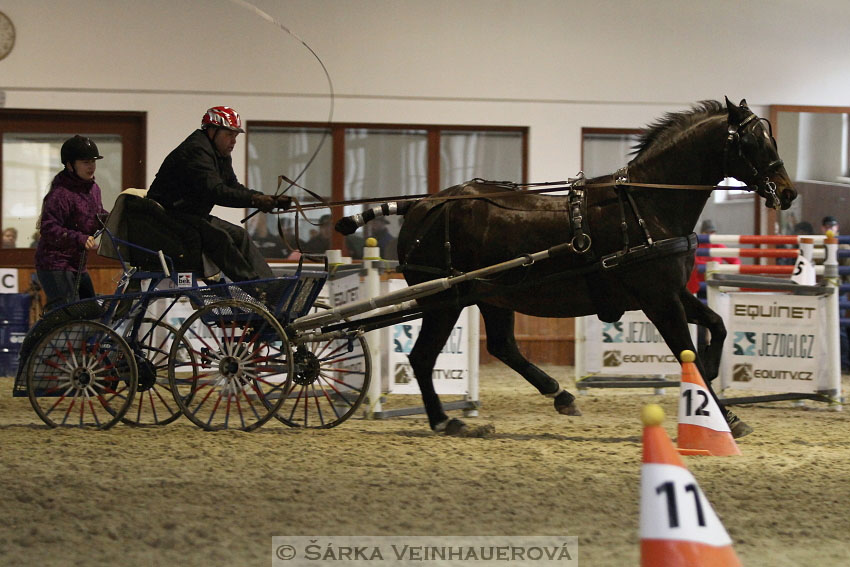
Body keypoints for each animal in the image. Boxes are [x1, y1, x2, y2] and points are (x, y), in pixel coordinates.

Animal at [334, 98, 792, 434]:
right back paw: (447, 421)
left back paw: (559, 395)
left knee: (502, 346)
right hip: (444, 300)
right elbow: (688, 353)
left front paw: (717, 383)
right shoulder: (658, 299)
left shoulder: (674, 291)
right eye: (752, 141)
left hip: (491, 296)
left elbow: (717, 326)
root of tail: (424, 204)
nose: (787, 193)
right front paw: (722, 414)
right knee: (422, 357)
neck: (646, 205)